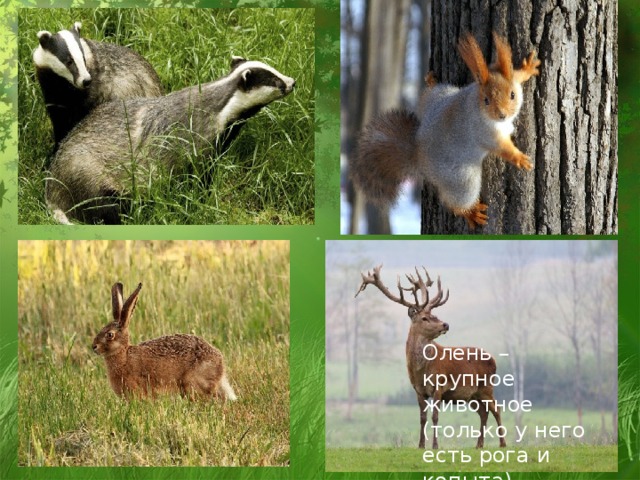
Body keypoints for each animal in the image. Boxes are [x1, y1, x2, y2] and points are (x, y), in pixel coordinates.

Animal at [355, 265, 507, 449]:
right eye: (425, 317)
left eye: (435, 314)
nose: (445, 324)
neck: (421, 371)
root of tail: (494, 359)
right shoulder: (418, 390)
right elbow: (422, 418)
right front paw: (421, 445)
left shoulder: (439, 386)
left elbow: (435, 417)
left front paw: (435, 445)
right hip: (472, 394)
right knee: (483, 413)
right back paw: (479, 444)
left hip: (486, 387)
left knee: (496, 409)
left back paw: (502, 443)